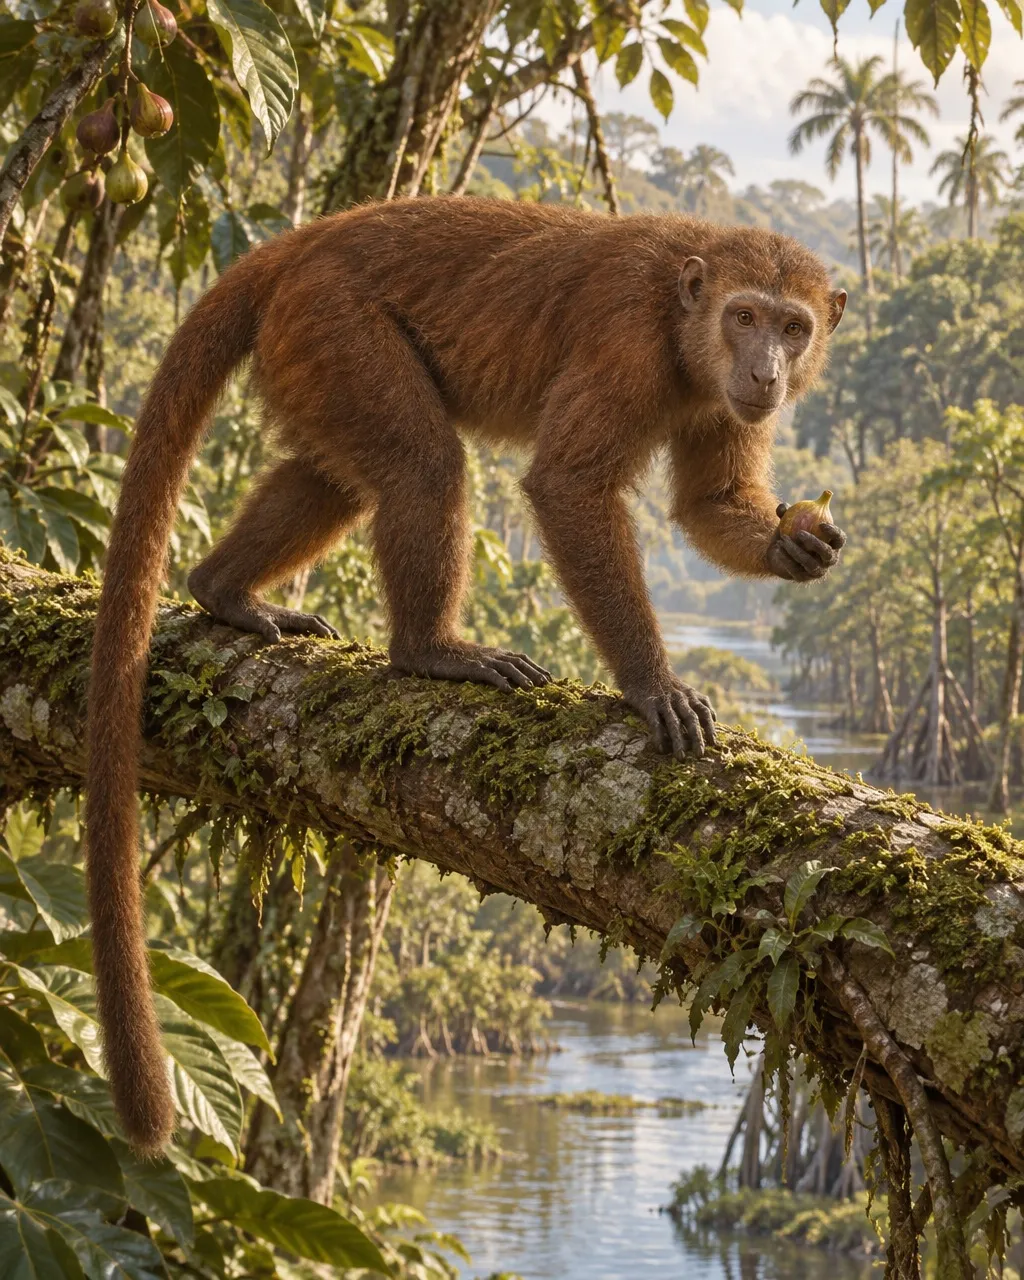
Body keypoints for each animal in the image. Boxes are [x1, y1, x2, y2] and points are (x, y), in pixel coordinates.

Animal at [84, 197, 847, 1154]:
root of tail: (302, 244)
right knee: (422, 459)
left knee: (338, 473)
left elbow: (709, 505)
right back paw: (426, 649)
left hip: (305, 343)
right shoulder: (626, 343)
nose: (766, 369)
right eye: (744, 317)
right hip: (331, 320)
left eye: (793, 326)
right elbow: (567, 487)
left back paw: (223, 589)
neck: (687, 326)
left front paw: (793, 542)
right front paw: (650, 683)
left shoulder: (722, 399)